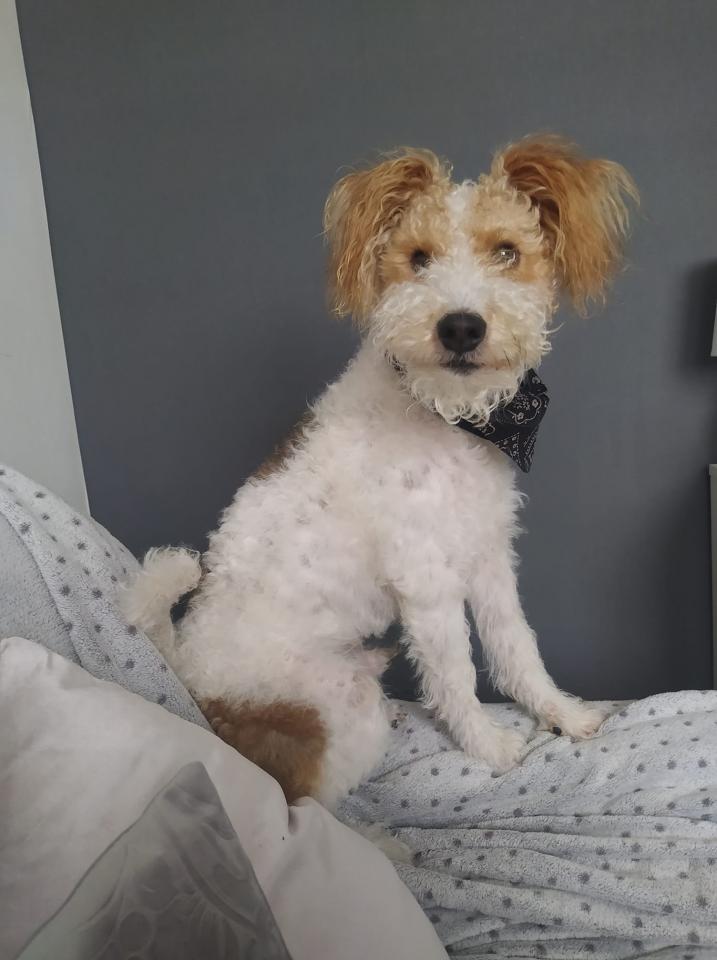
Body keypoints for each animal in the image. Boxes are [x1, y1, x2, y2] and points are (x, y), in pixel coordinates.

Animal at [123, 135, 637, 808]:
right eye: (417, 258)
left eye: (507, 252)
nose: (461, 326)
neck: (447, 417)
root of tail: (189, 674)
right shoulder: (427, 579)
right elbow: (456, 674)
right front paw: (490, 747)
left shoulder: (488, 554)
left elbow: (516, 646)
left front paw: (562, 713)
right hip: (341, 708)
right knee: (309, 803)